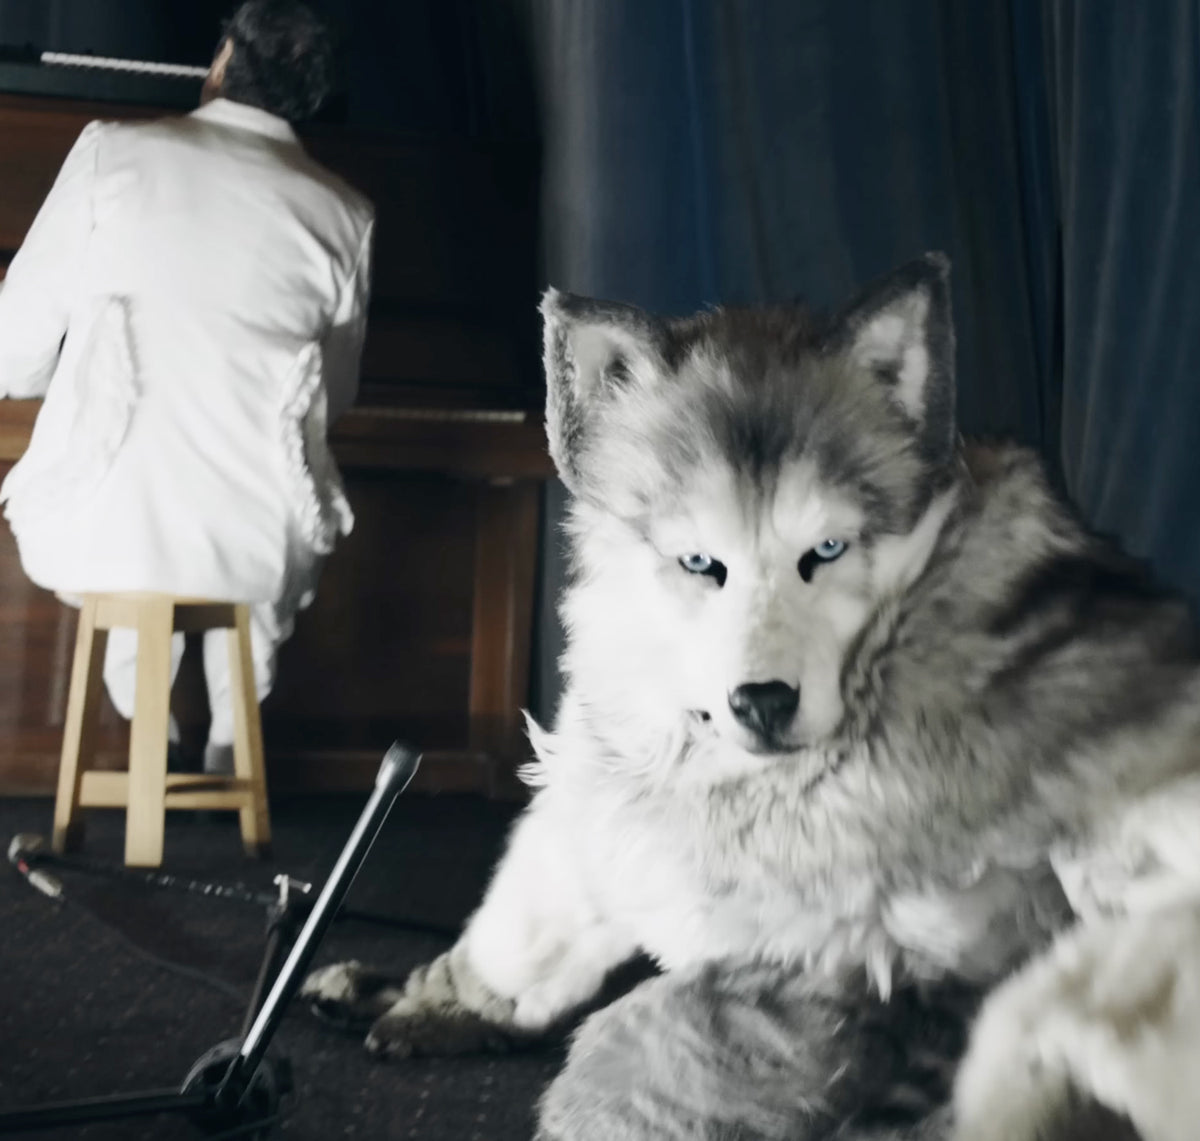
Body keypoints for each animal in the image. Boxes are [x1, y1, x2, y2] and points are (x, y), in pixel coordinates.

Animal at [304, 255, 1200, 1141]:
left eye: (826, 549)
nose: (763, 701)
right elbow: (531, 926)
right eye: (701, 562)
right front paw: (442, 1000)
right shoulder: (610, 800)